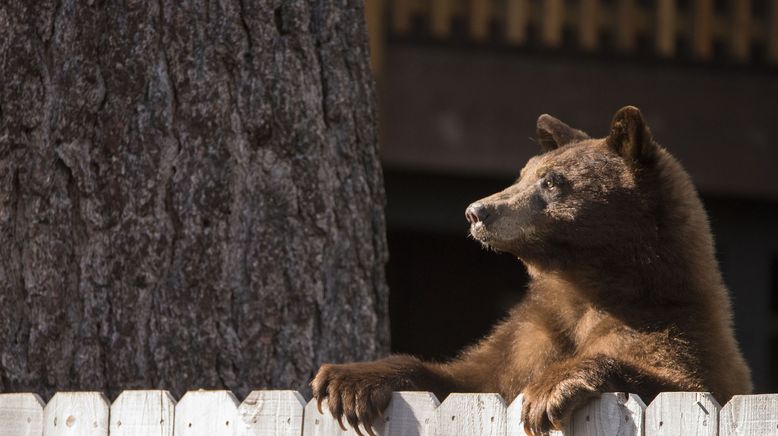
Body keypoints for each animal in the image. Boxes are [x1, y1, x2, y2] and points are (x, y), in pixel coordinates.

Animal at [310, 106, 752, 436]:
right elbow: (465, 379)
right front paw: (345, 382)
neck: (587, 286)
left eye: (553, 181)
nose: (478, 211)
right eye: (522, 173)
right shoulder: (531, 333)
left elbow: (674, 382)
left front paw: (548, 391)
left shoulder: (672, 329)